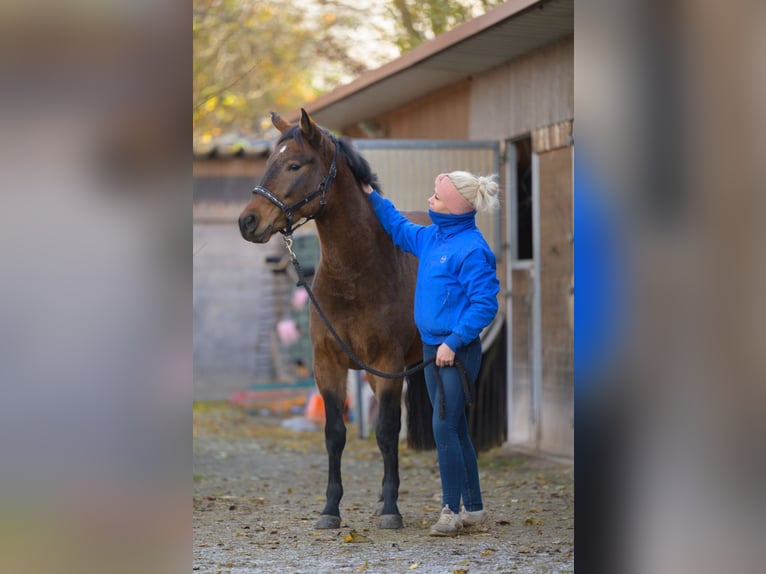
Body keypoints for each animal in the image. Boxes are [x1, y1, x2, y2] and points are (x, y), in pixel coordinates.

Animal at [237, 108, 436, 532]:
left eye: (295, 164)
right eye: (269, 161)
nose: (248, 221)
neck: (356, 273)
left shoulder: (387, 363)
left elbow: (387, 430)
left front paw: (391, 509)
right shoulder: (328, 363)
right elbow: (335, 433)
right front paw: (330, 508)